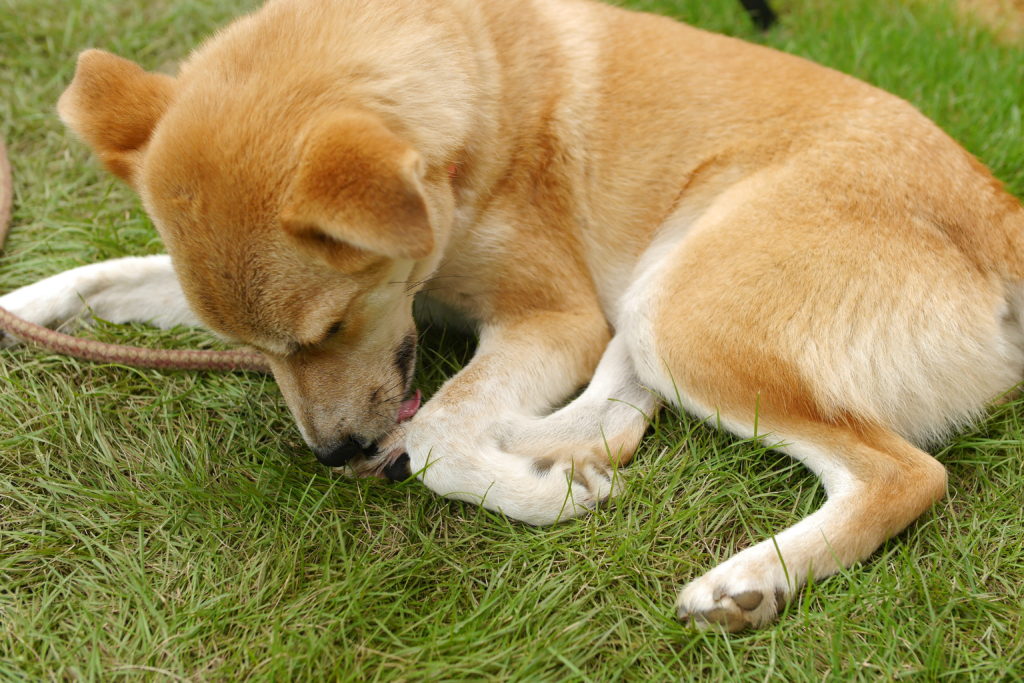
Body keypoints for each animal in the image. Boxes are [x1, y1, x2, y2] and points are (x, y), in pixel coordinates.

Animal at [2, 0, 1024, 634]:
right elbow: (116, 275)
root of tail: (998, 208)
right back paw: (558, 455)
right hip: (659, 287)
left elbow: (440, 436)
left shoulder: (554, 315)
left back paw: (750, 576)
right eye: (249, 348)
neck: (475, 97)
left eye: (325, 331)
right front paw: (25, 300)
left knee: (905, 473)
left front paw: (533, 498)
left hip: (680, 307)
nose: (332, 454)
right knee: (616, 412)